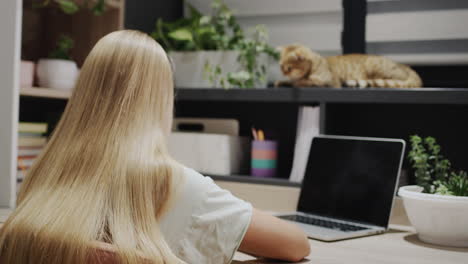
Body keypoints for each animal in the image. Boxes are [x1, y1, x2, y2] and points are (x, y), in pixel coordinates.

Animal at [276, 43, 422, 88]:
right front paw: (281, 82)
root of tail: (406, 66)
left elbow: (303, 81)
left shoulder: (327, 81)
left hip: (375, 66)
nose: (283, 72)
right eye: (281, 67)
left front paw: (296, 82)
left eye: (288, 68)